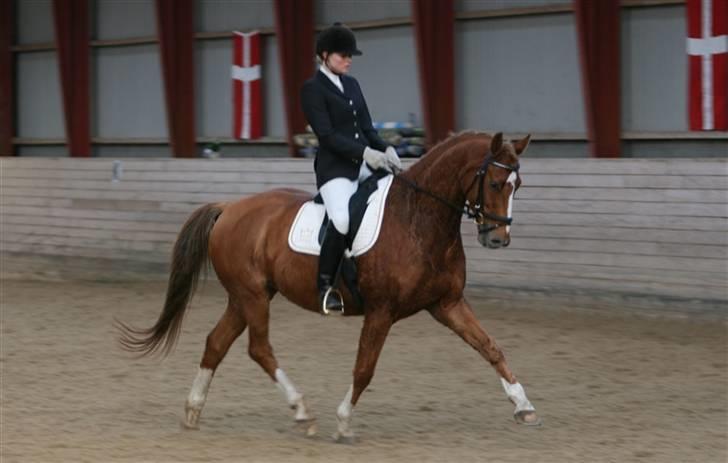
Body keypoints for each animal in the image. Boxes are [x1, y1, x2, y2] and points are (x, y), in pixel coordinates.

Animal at [118, 131, 540, 442]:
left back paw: (193, 411)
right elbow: (364, 368)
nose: (498, 238)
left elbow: (490, 347)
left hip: (244, 297)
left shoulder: (447, 303)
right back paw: (303, 412)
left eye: (519, 185)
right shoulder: (382, 311)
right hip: (252, 296)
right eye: (497, 182)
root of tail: (229, 207)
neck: (418, 220)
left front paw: (523, 406)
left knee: (216, 343)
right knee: (259, 348)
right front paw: (343, 422)